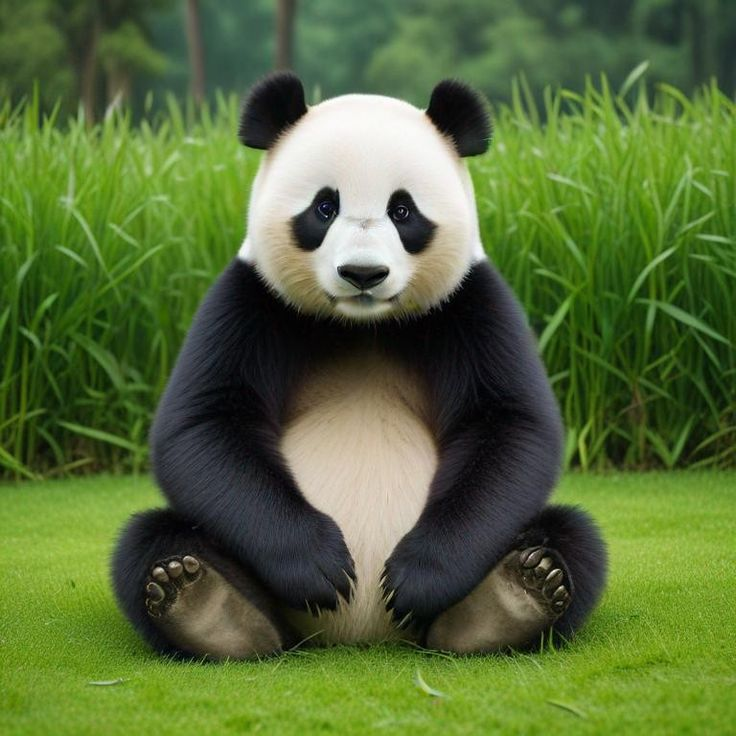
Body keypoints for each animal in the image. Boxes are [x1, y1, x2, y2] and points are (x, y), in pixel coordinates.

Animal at [112, 72, 607, 660]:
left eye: (403, 211)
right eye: (324, 208)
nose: (363, 274)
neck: (362, 326)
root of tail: (359, 636)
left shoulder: (470, 305)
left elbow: (508, 426)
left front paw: (418, 578)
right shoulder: (251, 301)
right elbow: (205, 425)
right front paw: (317, 566)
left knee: (572, 534)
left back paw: (513, 597)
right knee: (150, 539)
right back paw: (204, 604)